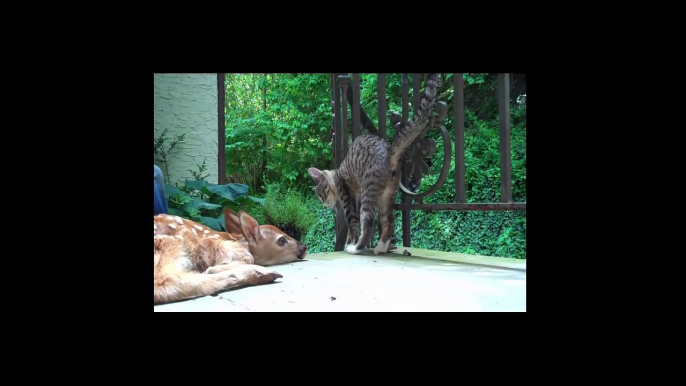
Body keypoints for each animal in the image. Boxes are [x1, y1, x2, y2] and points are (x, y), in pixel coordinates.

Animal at [308, 73, 438, 255]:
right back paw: (380, 248)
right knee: (389, 223)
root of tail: (389, 152)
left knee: (369, 224)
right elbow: (353, 228)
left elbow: (353, 225)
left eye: (322, 194)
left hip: (368, 192)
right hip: (387, 197)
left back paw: (356, 248)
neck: (337, 175)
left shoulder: (349, 199)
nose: (325, 205)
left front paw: (350, 243)